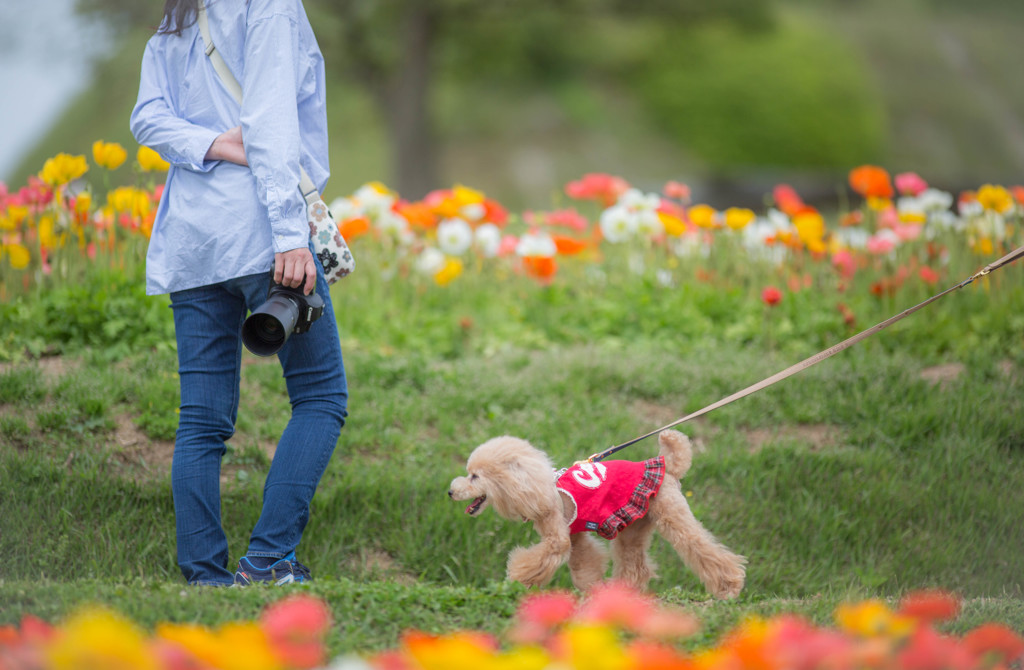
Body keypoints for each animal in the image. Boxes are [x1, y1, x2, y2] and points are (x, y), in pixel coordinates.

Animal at [448, 432, 745, 602]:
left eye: (474, 477)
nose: (451, 491)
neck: (537, 487)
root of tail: (666, 466)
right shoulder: (576, 536)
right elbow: (584, 564)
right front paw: (592, 590)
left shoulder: (558, 537)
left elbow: (542, 558)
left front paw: (517, 581)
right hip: (634, 526)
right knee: (635, 565)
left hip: (672, 515)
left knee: (701, 548)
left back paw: (729, 588)